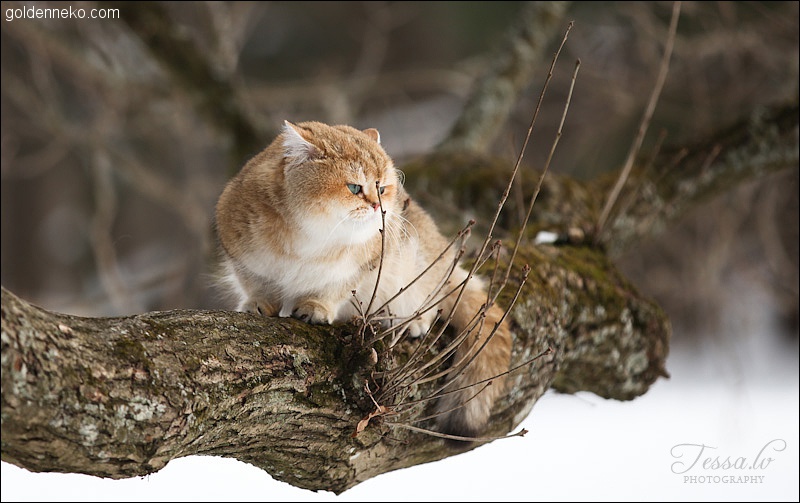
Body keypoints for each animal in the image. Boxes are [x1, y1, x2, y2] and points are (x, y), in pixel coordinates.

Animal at [212, 122, 512, 440]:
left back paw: (411, 321)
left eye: (381, 188)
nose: (378, 207)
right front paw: (259, 303)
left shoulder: (363, 267)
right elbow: (257, 283)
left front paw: (315, 308)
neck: (310, 235)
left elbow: (333, 290)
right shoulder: (241, 252)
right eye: (354, 187)